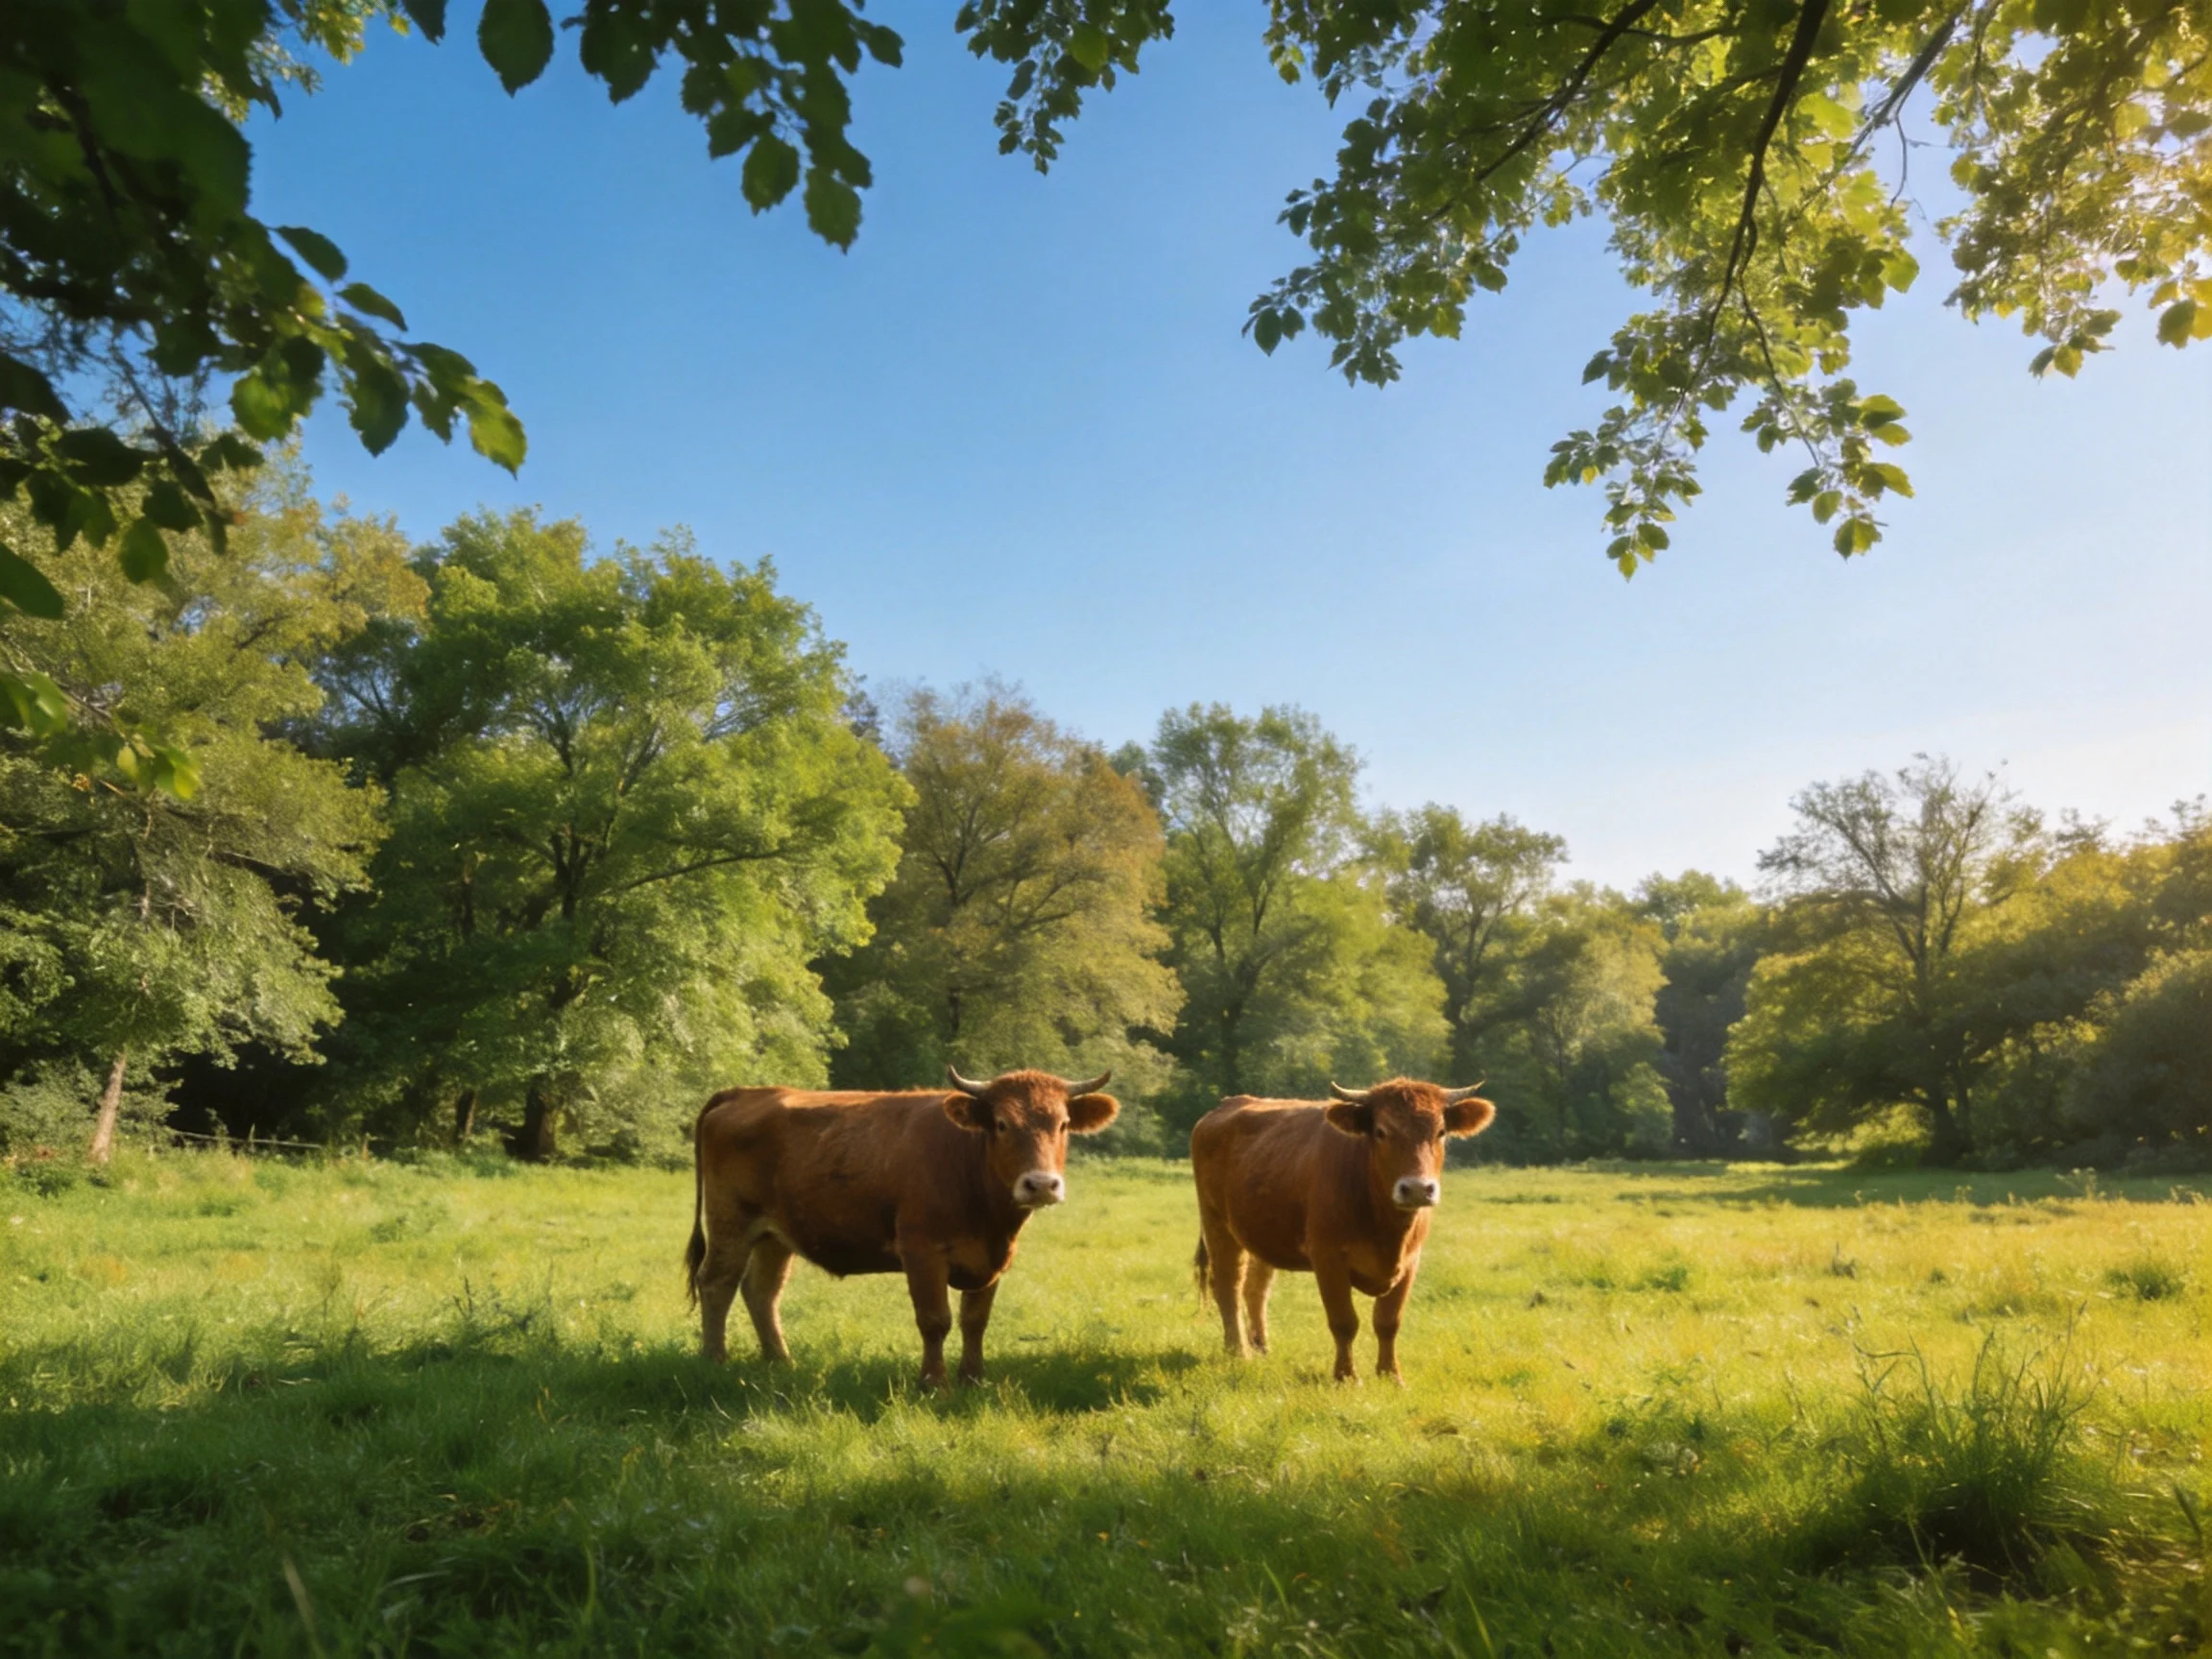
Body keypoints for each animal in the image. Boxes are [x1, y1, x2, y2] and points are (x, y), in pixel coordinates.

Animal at [685, 1066, 1119, 1388]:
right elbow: (935, 1320)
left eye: (1063, 1124)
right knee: (717, 1283)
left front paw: (973, 1379)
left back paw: (780, 1361)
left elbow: (975, 1321)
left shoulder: (994, 1258)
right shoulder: (922, 1252)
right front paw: (934, 1383)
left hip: (774, 1236)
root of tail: (745, 1092)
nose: (1041, 1184)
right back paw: (715, 1359)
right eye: (1001, 1123)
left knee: (762, 1291)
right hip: (731, 1222)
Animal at [1190, 1078, 1496, 1383]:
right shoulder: (1328, 1258)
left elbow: (1388, 1321)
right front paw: (1346, 1377)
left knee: (1255, 1289)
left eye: (1440, 1132)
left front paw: (1391, 1376)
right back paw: (1238, 1352)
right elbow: (1344, 1321)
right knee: (1228, 1286)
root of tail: (1227, 1104)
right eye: (1381, 1131)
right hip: (1216, 1223)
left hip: (1260, 1232)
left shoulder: (1410, 1261)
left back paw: (1261, 1346)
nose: (1418, 1189)